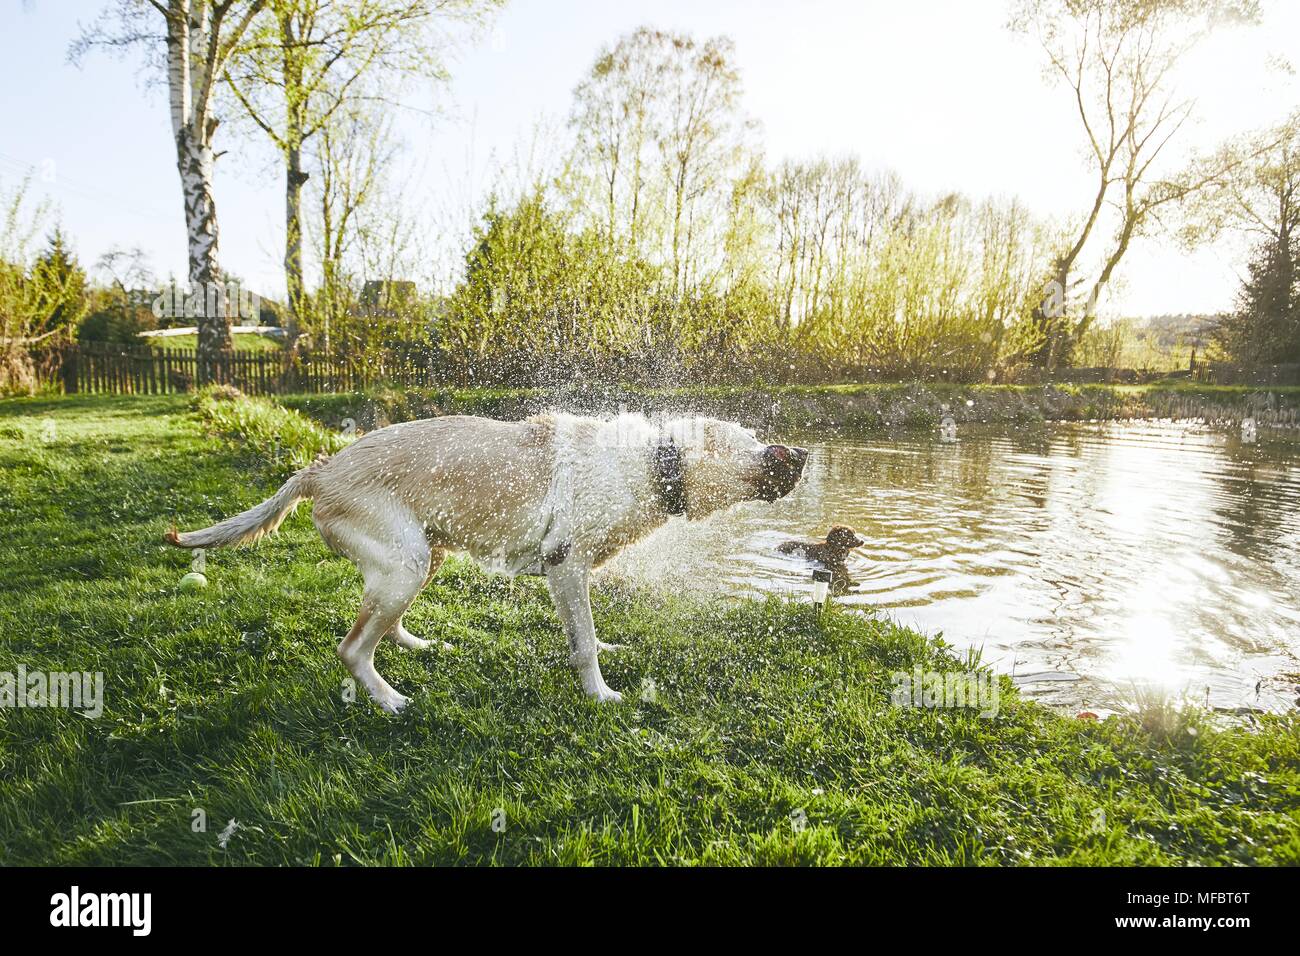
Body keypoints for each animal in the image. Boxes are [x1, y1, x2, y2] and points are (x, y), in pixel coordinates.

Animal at [165, 411, 800, 712]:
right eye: (758, 441)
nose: (802, 451)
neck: (653, 465)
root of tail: (318, 469)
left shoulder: (575, 577)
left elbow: (587, 633)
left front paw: (604, 649)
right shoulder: (566, 564)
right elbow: (585, 646)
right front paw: (600, 695)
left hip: (425, 557)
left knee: (383, 625)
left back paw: (417, 645)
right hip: (407, 561)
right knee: (352, 648)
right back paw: (388, 700)